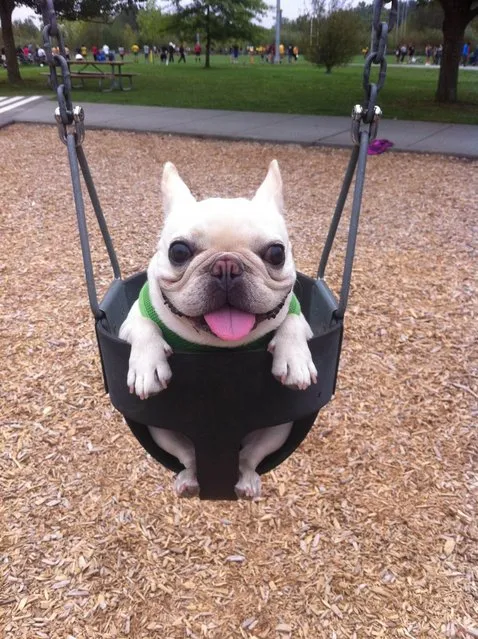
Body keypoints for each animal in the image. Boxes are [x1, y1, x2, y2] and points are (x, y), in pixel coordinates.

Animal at [118, 160, 318, 500]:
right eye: (179, 252)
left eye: (276, 253)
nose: (227, 266)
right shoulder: (131, 318)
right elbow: (145, 327)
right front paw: (147, 367)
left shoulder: (299, 315)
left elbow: (291, 323)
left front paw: (295, 361)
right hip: (162, 430)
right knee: (188, 457)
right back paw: (188, 480)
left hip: (279, 429)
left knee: (249, 458)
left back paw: (246, 481)